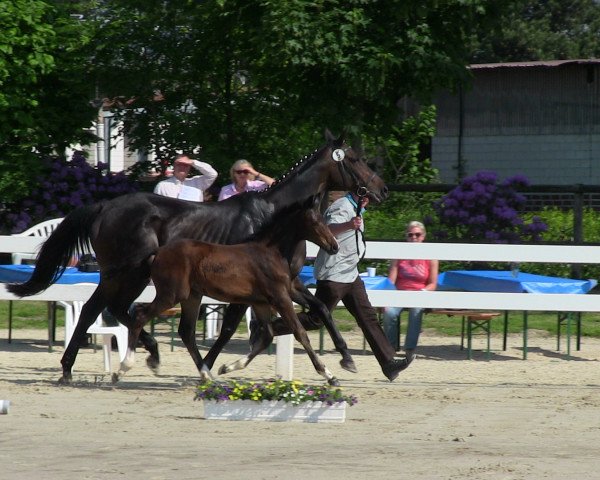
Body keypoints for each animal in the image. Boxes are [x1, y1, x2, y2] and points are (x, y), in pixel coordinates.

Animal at [119, 204, 340, 384]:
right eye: (315, 222)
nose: (334, 246)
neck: (271, 253)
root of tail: (158, 252)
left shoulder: (261, 302)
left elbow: (267, 336)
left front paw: (227, 367)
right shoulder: (280, 298)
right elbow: (300, 332)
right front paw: (328, 375)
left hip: (192, 297)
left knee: (186, 331)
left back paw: (207, 374)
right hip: (172, 295)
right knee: (140, 315)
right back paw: (123, 368)